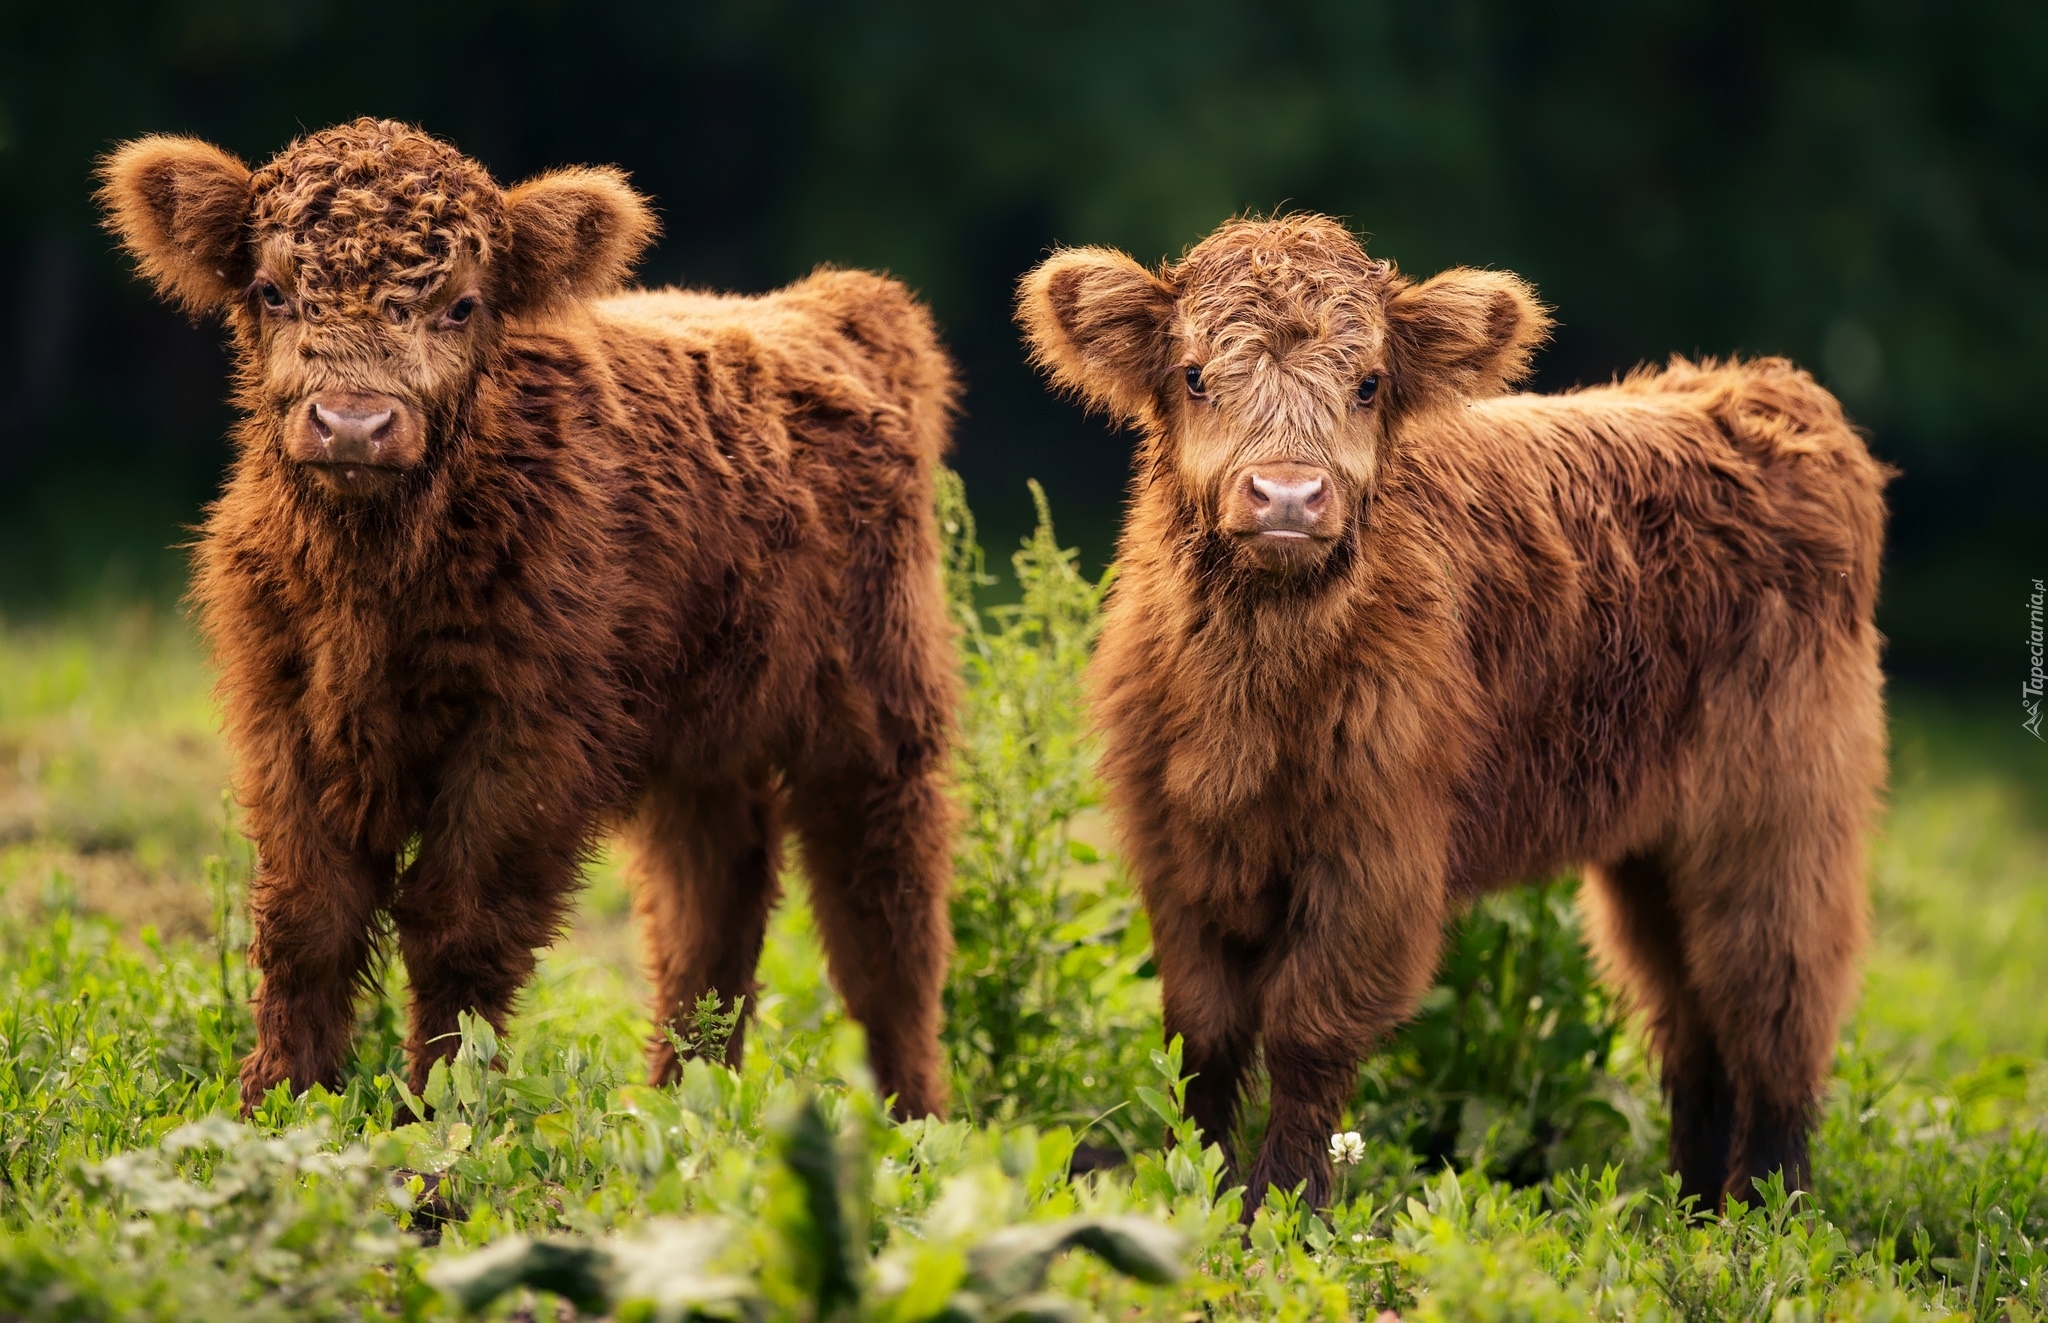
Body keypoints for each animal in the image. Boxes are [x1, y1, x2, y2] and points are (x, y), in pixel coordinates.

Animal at [96, 121, 958, 1122]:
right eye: (271, 290)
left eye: (463, 305)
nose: (352, 423)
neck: (375, 579)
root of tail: (836, 307)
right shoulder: (283, 711)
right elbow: (307, 917)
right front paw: (280, 1105)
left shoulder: (530, 739)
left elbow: (457, 931)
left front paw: (436, 1123)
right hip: (703, 749)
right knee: (709, 917)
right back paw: (680, 1102)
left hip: (878, 722)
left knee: (885, 929)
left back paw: (912, 1119)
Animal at [1019, 215, 1884, 1212]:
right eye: (1195, 374)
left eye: (1367, 383)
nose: (1287, 495)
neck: (1254, 697)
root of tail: (1762, 387)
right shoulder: (1178, 844)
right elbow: (1201, 1034)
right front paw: (1191, 1187)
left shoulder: (1378, 856)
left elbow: (1307, 1028)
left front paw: (1283, 1206)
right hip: (1657, 842)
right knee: (1688, 1014)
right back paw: (1695, 1207)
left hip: (1777, 816)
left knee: (1775, 999)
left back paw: (1772, 1206)